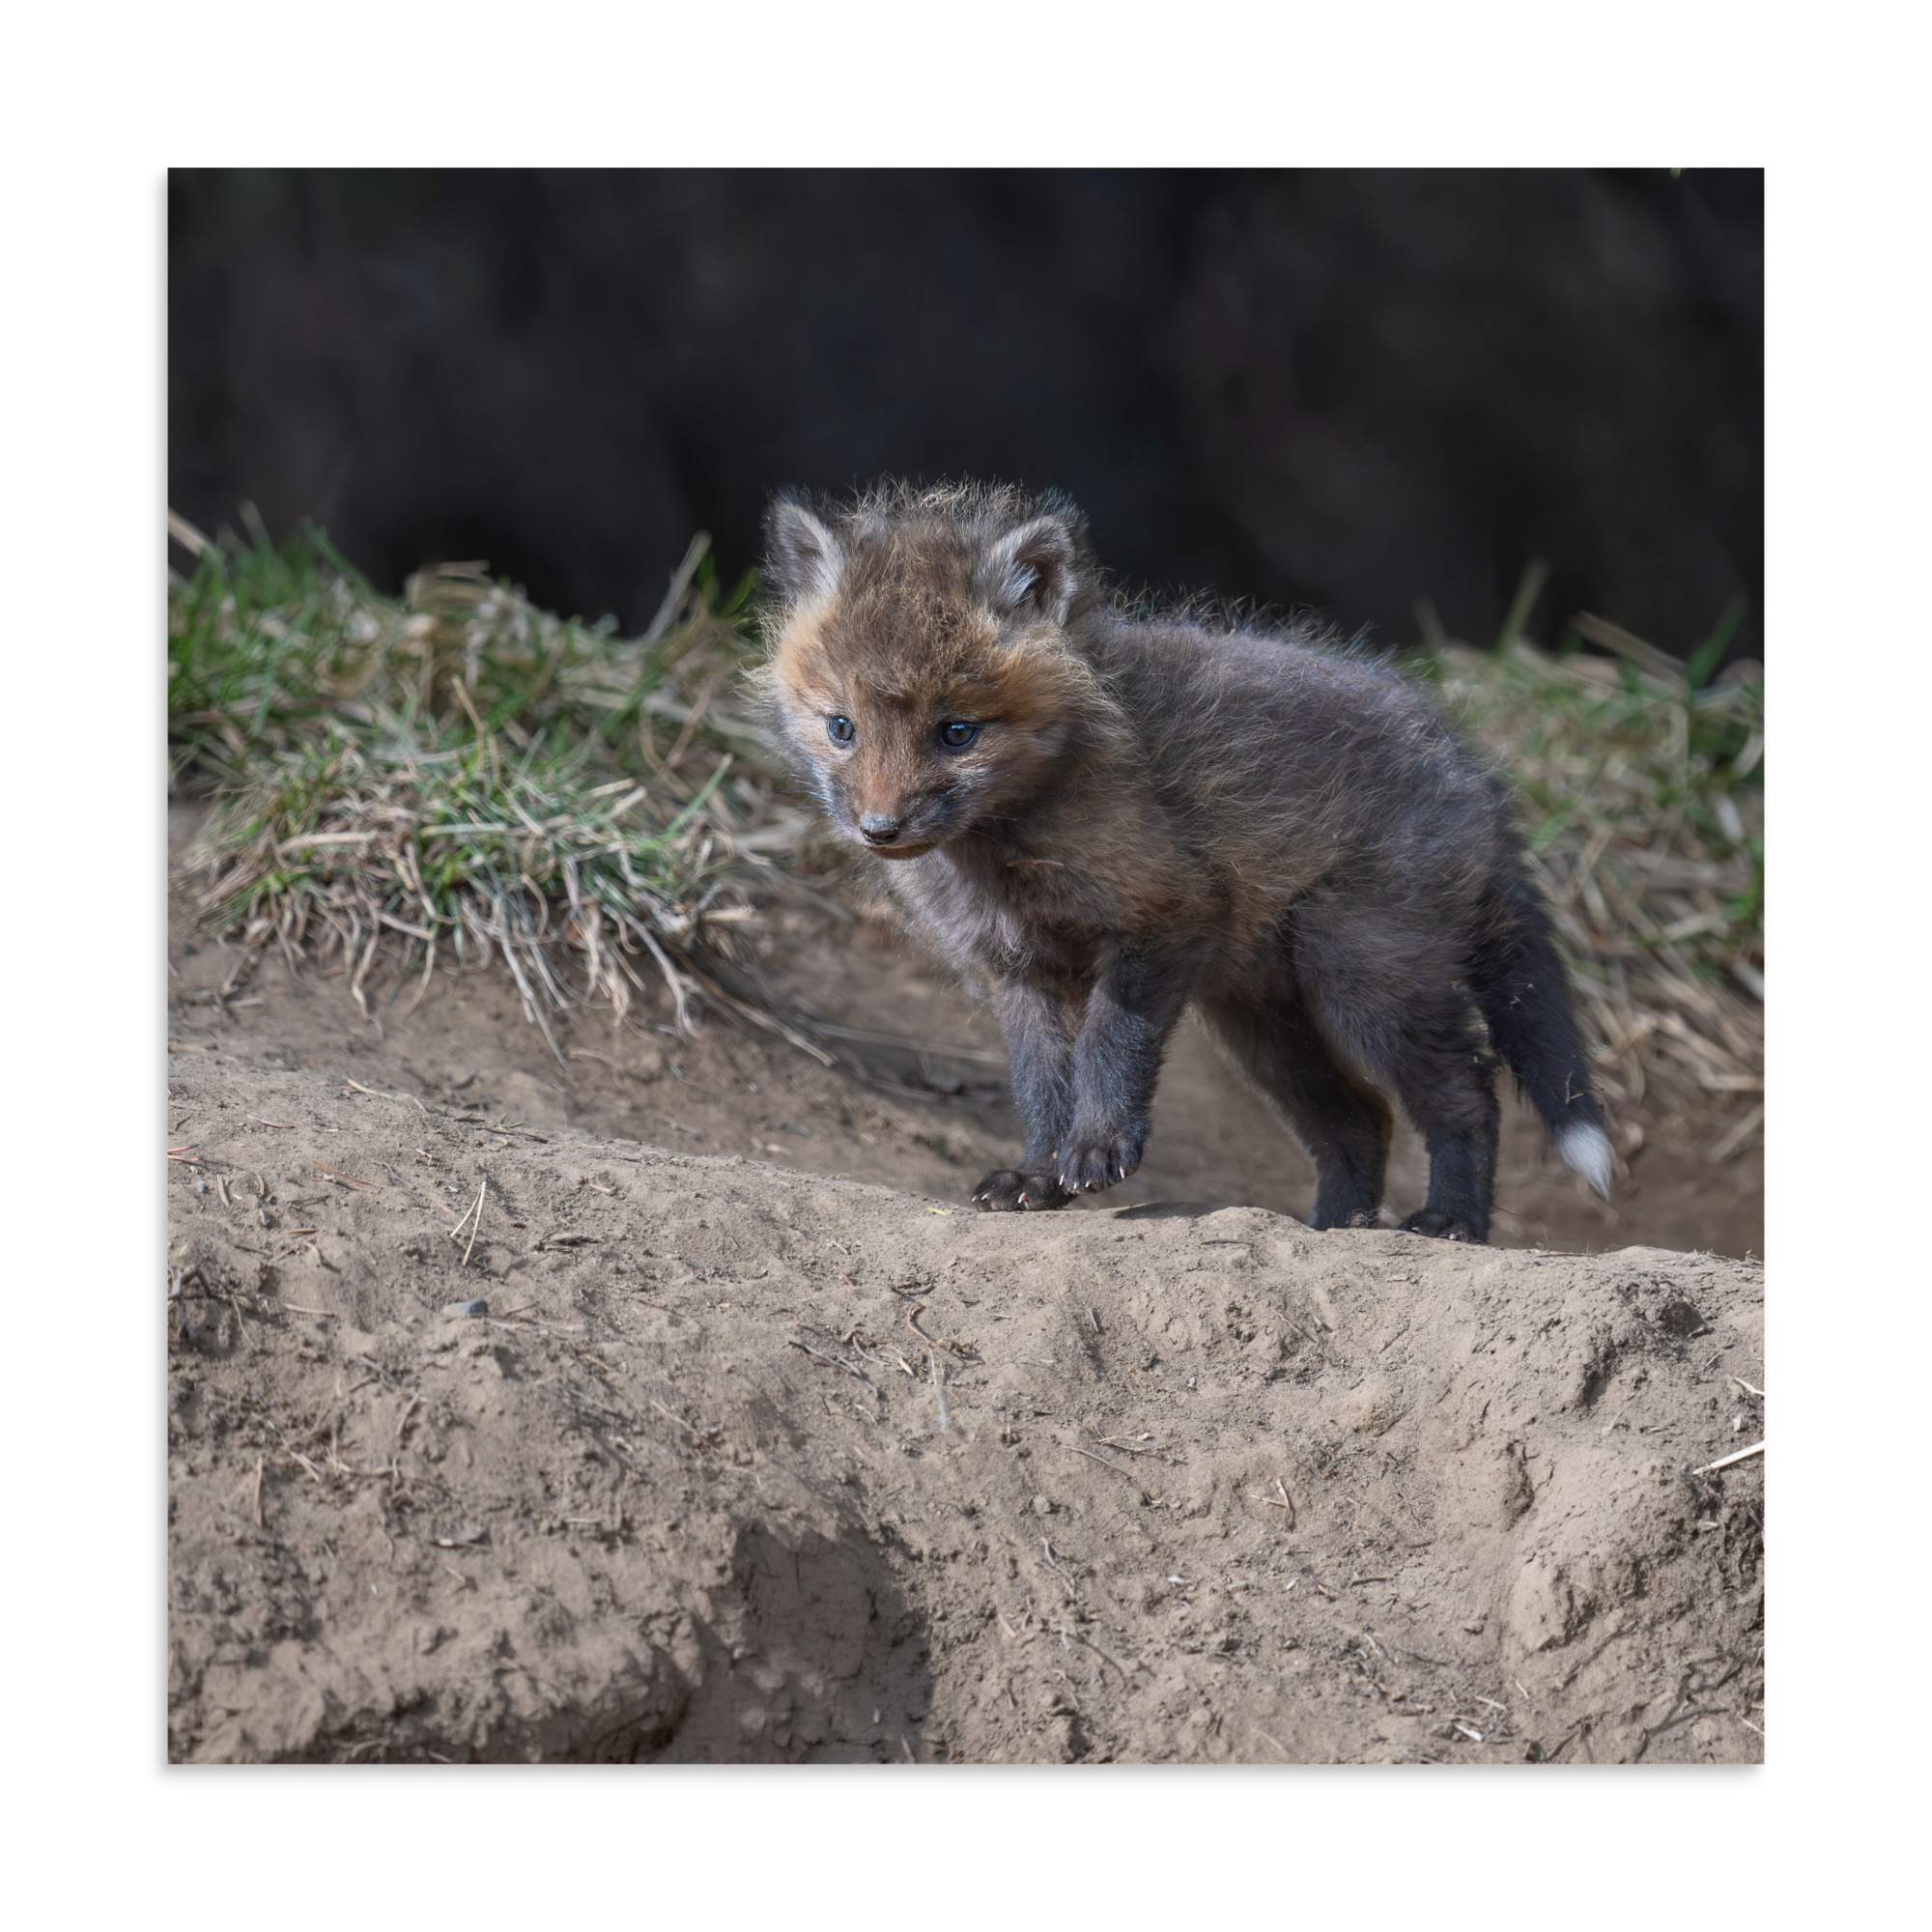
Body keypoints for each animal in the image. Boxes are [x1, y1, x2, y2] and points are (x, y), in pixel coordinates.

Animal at [756, 480, 1613, 1242]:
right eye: (841, 727)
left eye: (956, 732)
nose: (879, 829)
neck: (1008, 852)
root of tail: (1476, 773)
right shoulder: (1019, 968)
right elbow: (1040, 1084)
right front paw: (1037, 1174)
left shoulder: (1163, 914)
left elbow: (1109, 1046)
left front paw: (1098, 1149)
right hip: (1262, 1022)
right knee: (1360, 1119)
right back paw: (1336, 1227)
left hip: (1361, 979)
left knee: (1467, 1091)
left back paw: (1452, 1221)